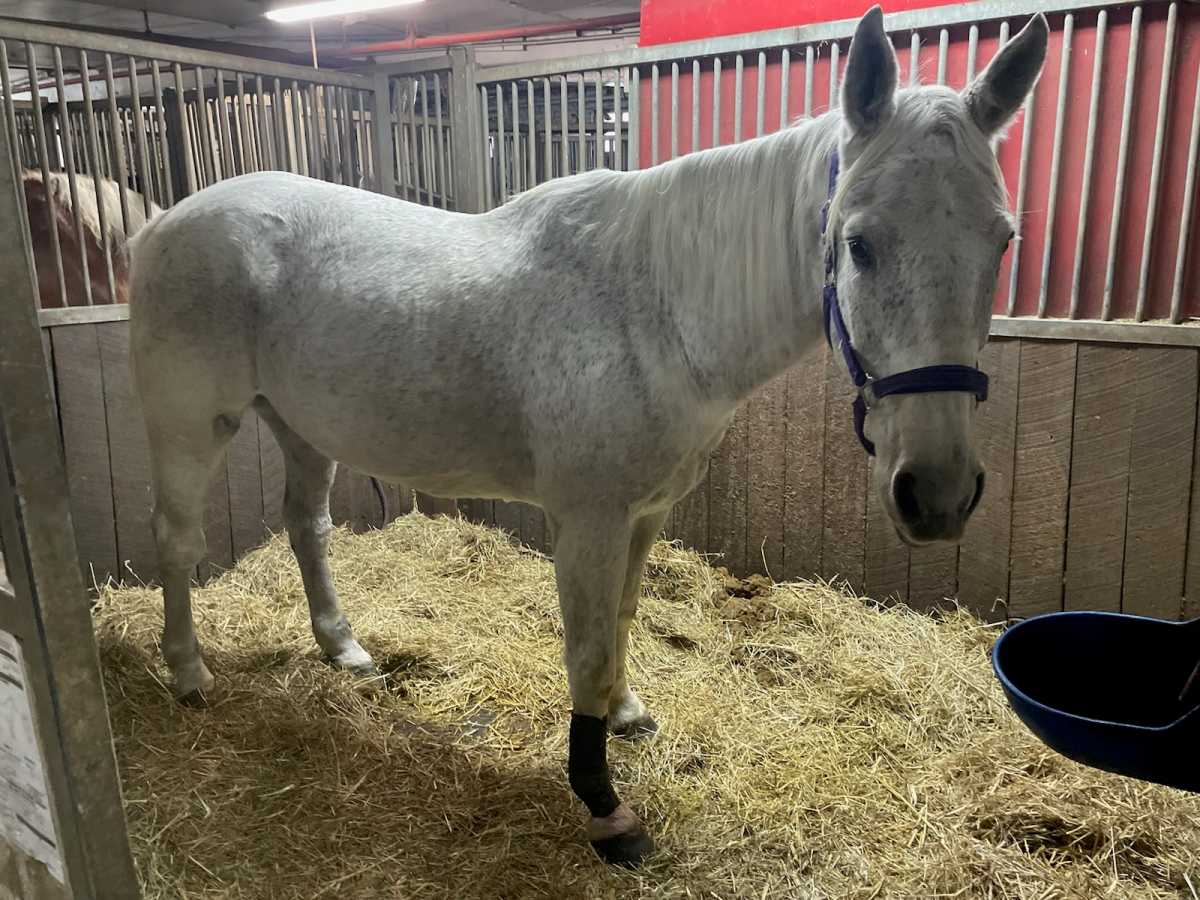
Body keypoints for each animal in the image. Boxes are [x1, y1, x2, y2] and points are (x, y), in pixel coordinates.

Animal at [128, 7, 1047, 866]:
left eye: (1002, 241)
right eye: (858, 243)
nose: (936, 494)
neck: (656, 307)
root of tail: (165, 223)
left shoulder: (645, 514)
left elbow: (625, 618)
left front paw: (627, 713)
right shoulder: (589, 522)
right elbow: (588, 648)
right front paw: (604, 805)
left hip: (300, 426)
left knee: (307, 527)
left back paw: (344, 649)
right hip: (188, 426)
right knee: (176, 541)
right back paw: (187, 672)